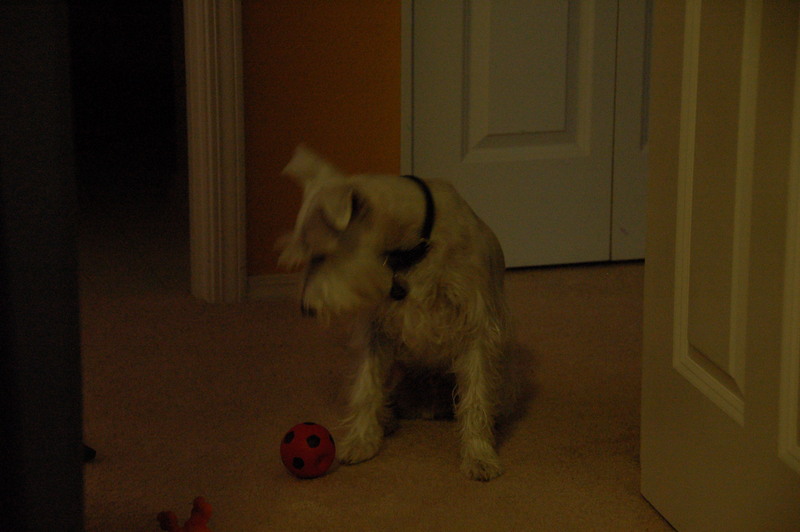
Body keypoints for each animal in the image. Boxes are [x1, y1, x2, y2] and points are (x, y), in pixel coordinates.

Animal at [278, 145, 515, 481]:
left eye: (321, 255)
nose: (306, 308)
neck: (412, 247)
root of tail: (428, 405)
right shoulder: (377, 330)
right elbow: (366, 386)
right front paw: (362, 439)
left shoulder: (476, 327)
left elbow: (477, 396)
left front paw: (479, 455)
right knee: (386, 392)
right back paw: (387, 418)